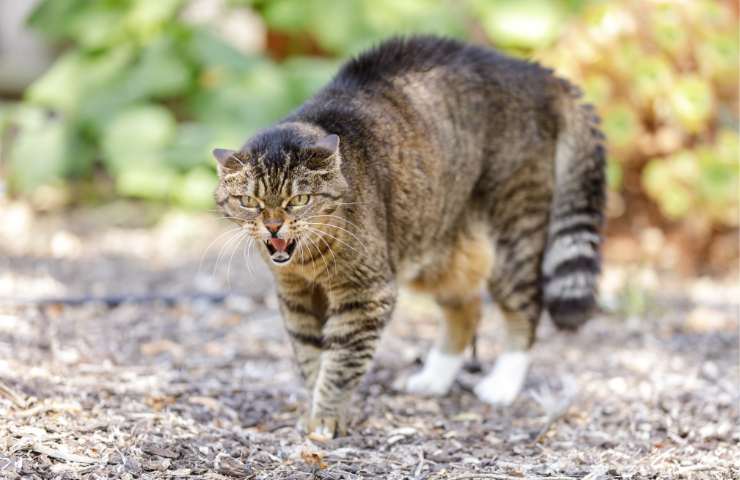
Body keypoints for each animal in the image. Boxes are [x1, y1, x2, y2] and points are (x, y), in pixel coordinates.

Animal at [211, 34, 604, 438]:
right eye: (249, 202)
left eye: (298, 200)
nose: (273, 226)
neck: (307, 261)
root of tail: (537, 73)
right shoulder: (296, 297)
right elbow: (310, 357)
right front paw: (313, 409)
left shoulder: (364, 294)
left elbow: (340, 364)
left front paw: (326, 417)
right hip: (438, 246)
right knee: (467, 307)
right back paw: (434, 378)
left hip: (513, 235)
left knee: (526, 306)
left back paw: (503, 384)